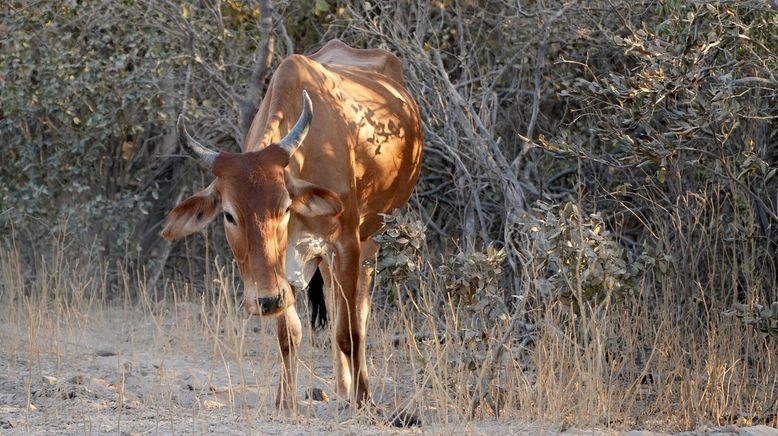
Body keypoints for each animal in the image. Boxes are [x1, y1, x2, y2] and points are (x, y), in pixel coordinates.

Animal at [160, 39, 422, 410]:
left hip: (372, 237)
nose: (265, 301)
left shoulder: (346, 242)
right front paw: (285, 399)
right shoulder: (283, 266)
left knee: (359, 309)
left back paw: (356, 389)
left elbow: (349, 331)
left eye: (284, 208)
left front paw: (363, 400)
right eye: (229, 214)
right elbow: (288, 333)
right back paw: (341, 386)